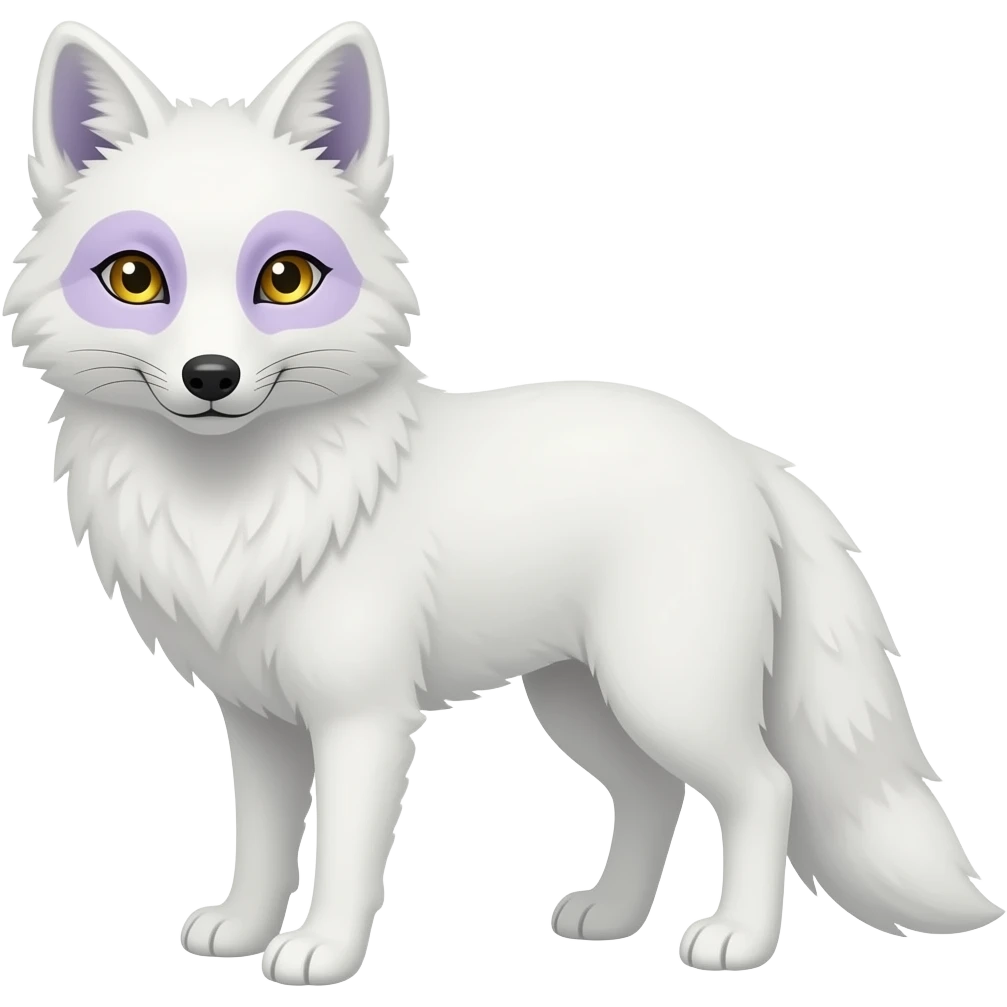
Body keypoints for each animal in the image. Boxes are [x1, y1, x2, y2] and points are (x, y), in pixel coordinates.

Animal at [6, 18, 1001, 987]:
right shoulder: (255, 721)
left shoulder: (362, 716)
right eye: (135, 278)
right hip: (581, 701)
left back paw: (737, 941)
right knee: (652, 793)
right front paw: (242, 931)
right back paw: (610, 919)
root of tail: (740, 452)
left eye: (285, 278)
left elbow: (344, 855)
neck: (232, 510)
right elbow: (261, 844)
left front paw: (323, 953)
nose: (210, 376)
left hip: (663, 693)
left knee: (765, 788)